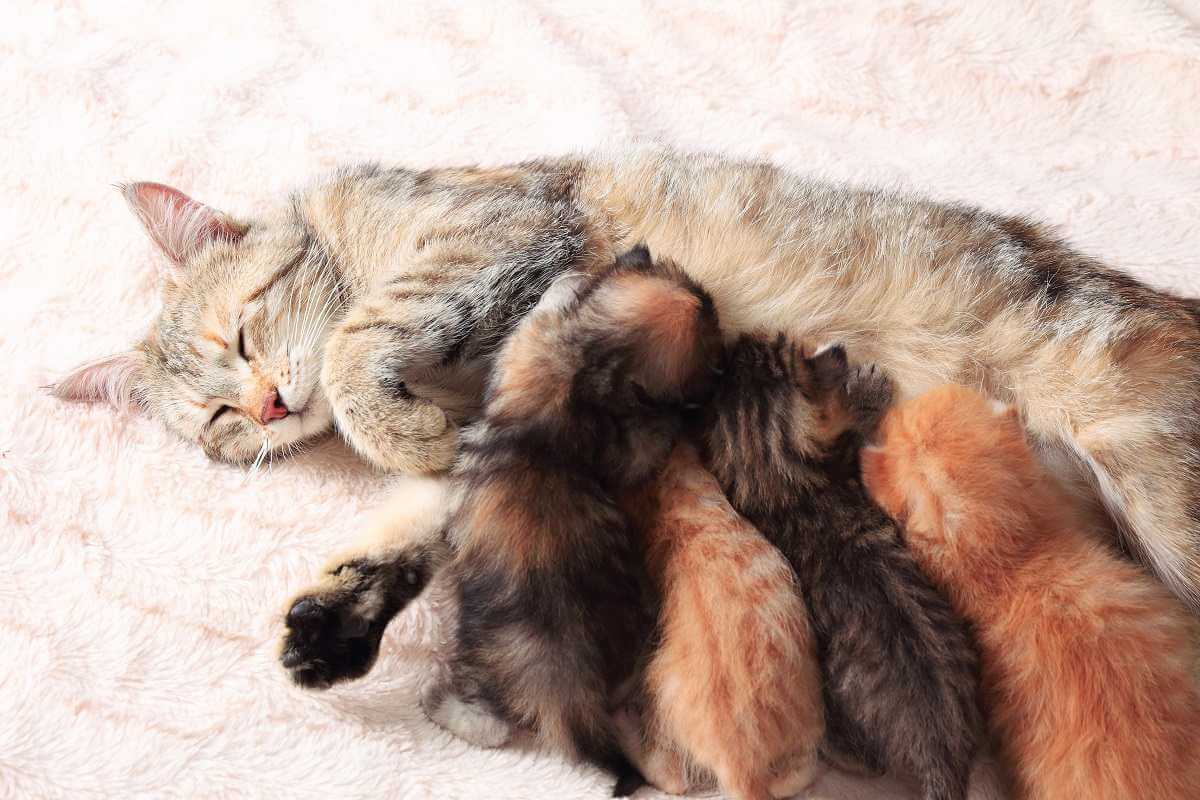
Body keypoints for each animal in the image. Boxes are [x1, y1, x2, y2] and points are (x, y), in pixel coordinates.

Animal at [56, 148, 1200, 614]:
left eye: (243, 329)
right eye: (217, 420)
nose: (265, 406)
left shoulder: (499, 228)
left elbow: (354, 347)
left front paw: (390, 420)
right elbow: (432, 499)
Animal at [619, 443, 825, 800]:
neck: (677, 488)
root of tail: (743, 762)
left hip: (661, 690)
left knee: (671, 776)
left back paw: (621, 727)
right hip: (808, 720)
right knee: (795, 775)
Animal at [700, 333, 984, 800]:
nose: (738, 339)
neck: (782, 483)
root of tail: (939, 744)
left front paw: (866, 390)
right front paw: (868, 390)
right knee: (871, 763)